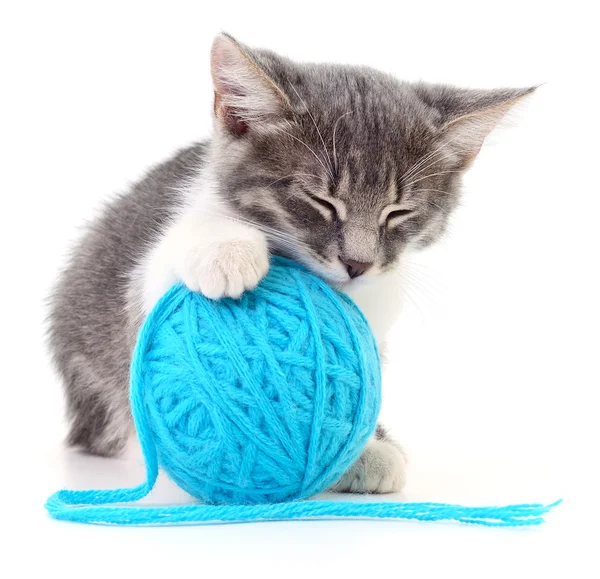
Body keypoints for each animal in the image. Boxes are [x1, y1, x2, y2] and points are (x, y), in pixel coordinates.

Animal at [48, 31, 536, 494]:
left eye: (399, 212)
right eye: (320, 201)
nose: (358, 263)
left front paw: (365, 449)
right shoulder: (151, 277)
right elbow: (166, 273)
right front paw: (227, 252)